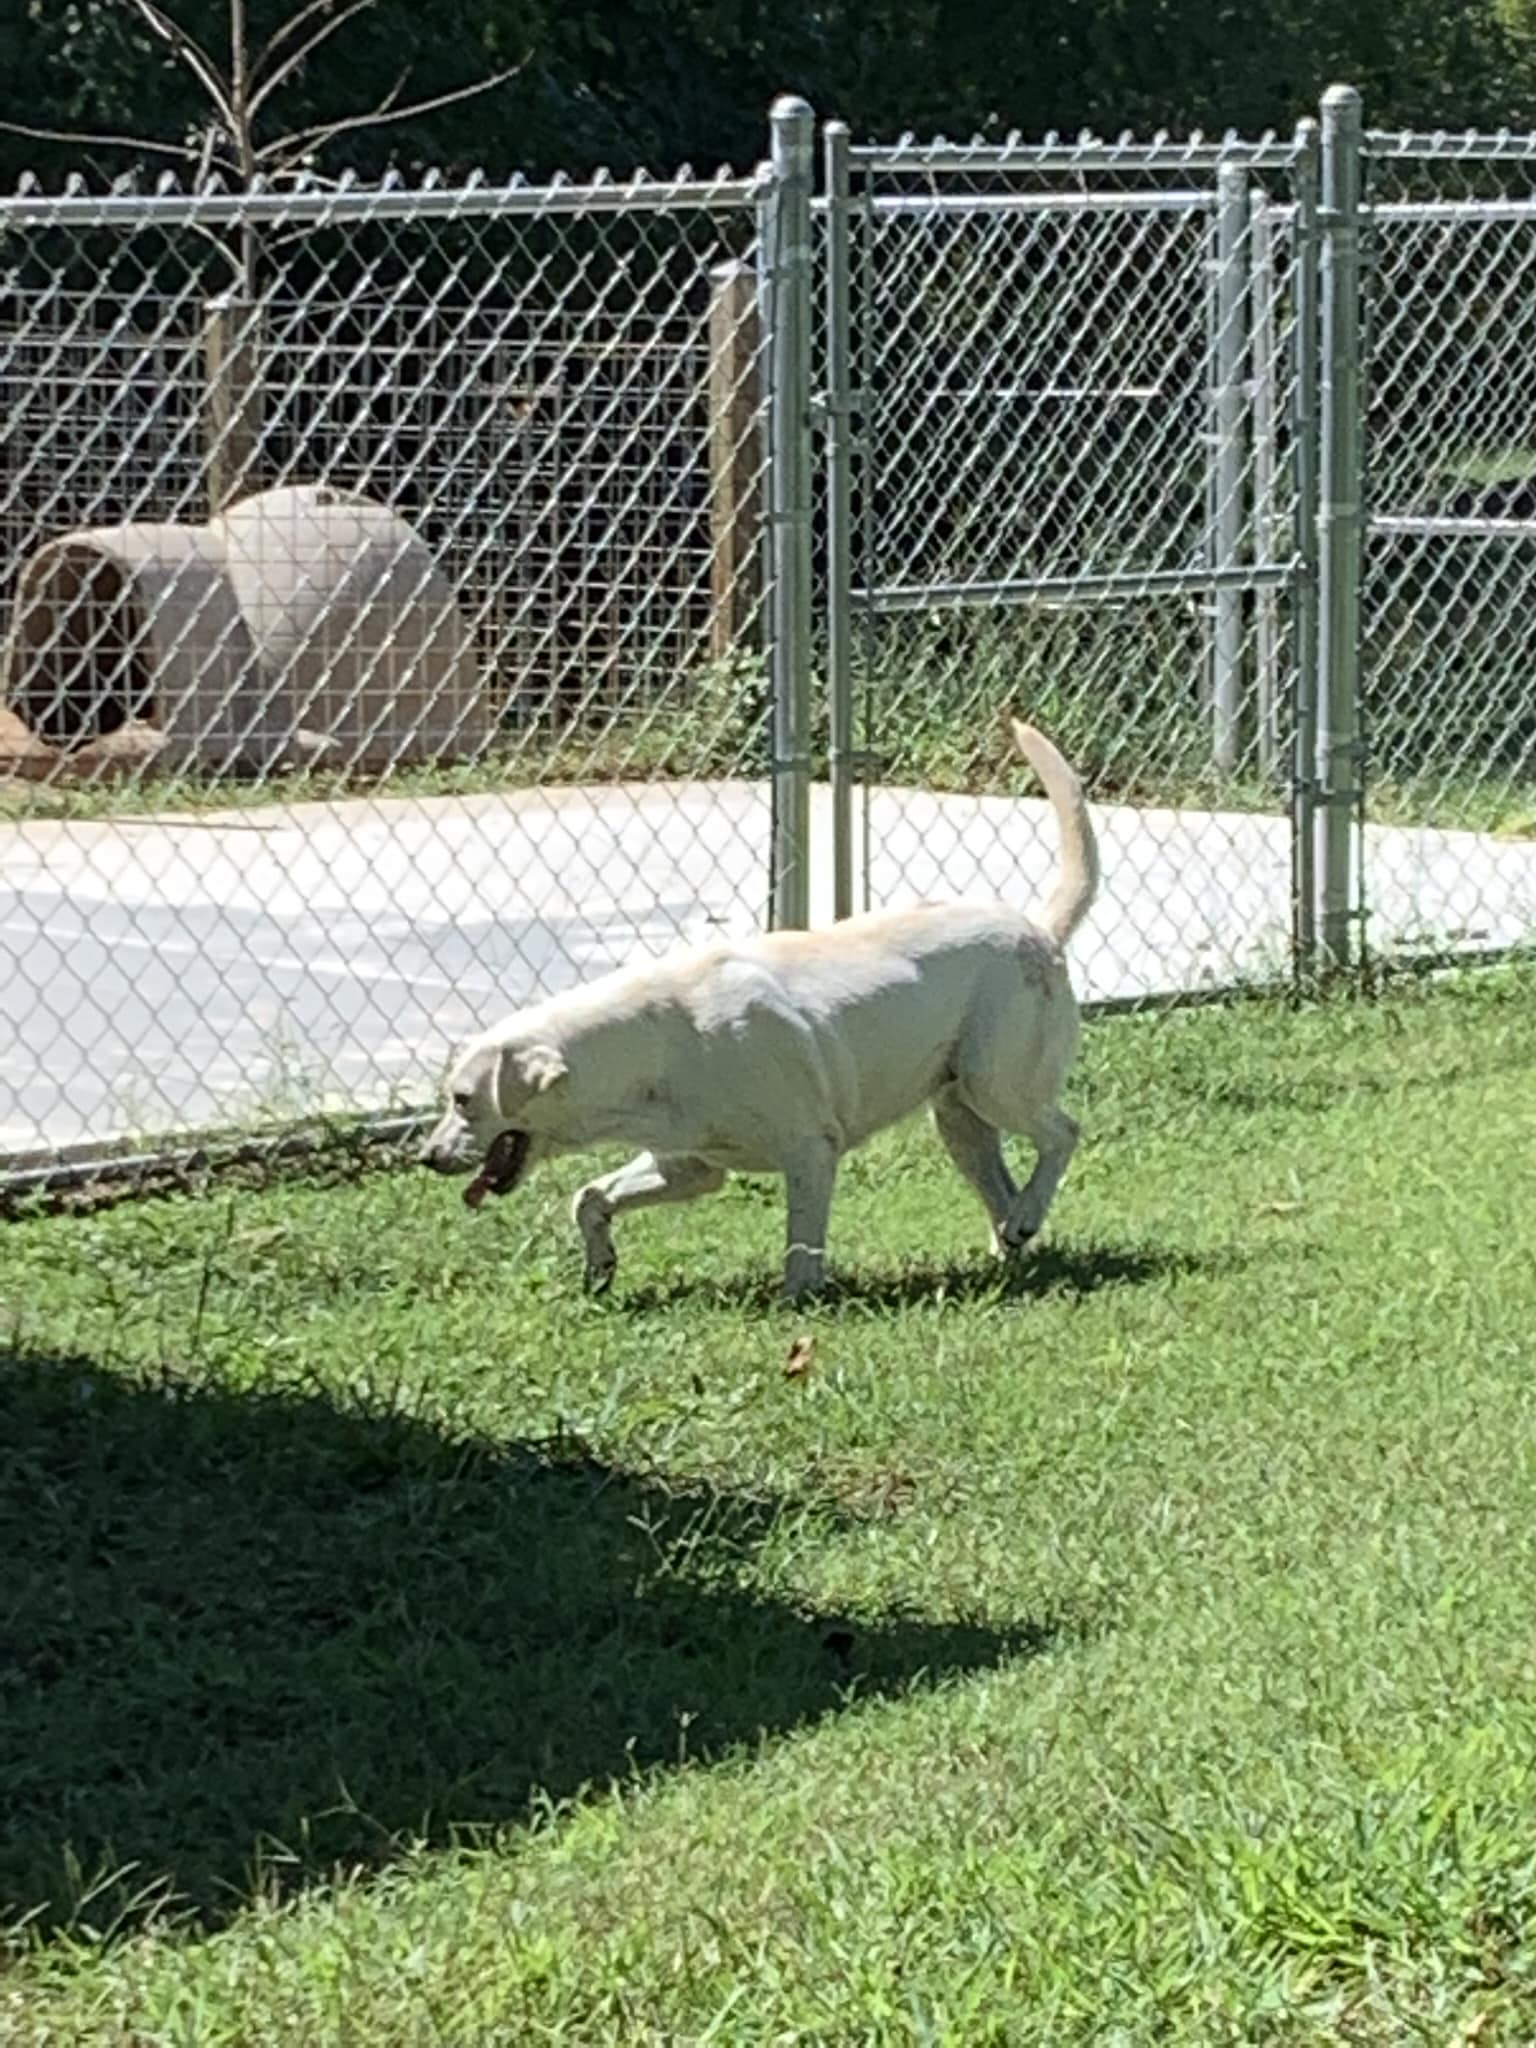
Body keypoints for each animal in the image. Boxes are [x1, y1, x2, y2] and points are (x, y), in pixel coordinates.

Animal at [415, 720, 1097, 1294]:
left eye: (463, 1099)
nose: (426, 1157)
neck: (645, 1048)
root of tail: (1038, 929)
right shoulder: (688, 1166)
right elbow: (588, 1196)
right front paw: (600, 1266)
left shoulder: (810, 1150)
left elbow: (801, 1245)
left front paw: (799, 1303)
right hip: (958, 1118)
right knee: (1003, 1184)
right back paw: (1014, 1235)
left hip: (997, 1085)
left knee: (1063, 1135)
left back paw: (1024, 1218)